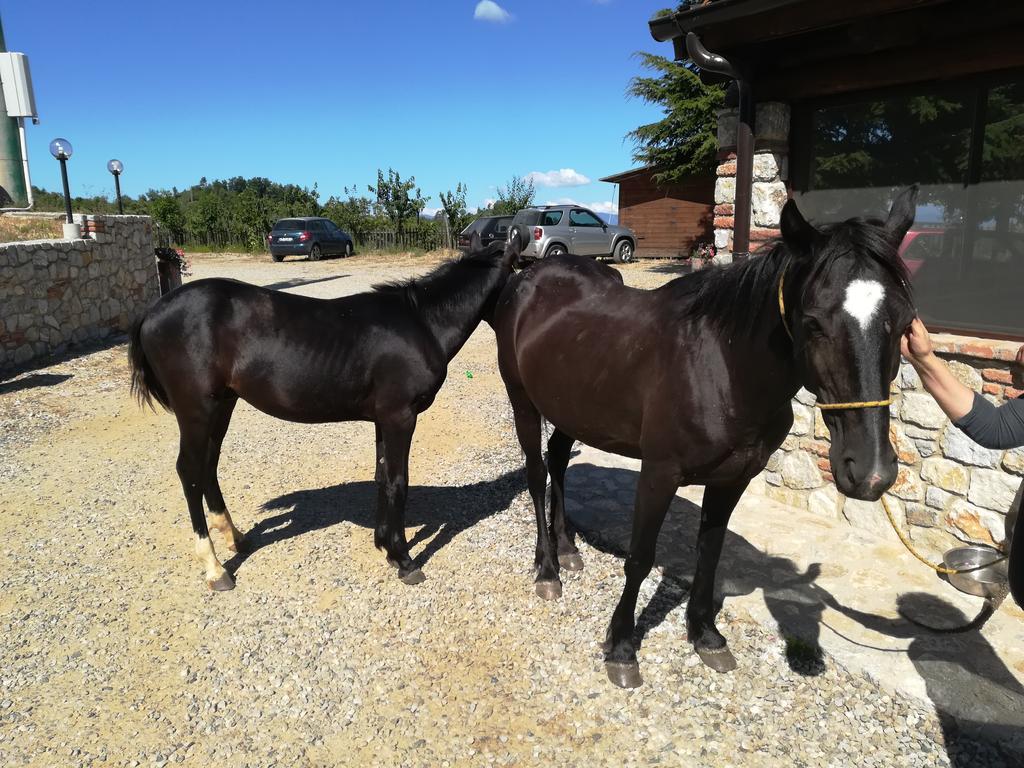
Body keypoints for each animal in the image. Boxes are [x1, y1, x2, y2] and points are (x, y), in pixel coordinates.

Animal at [130, 236, 520, 593]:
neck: (422, 322)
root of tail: (152, 312)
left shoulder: (383, 419)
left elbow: (382, 477)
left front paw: (385, 547)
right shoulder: (400, 416)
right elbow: (398, 481)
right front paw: (404, 560)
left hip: (223, 403)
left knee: (209, 465)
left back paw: (236, 539)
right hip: (197, 408)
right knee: (190, 471)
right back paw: (215, 569)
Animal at [491, 189, 917, 688]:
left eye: (905, 323)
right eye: (813, 322)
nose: (870, 473)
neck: (721, 367)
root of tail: (529, 278)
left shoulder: (732, 479)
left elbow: (709, 553)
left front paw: (705, 635)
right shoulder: (659, 473)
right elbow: (640, 557)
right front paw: (622, 647)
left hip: (573, 408)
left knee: (558, 460)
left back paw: (568, 548)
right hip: (523, 401)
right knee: (537, 474)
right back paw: (547, 569)